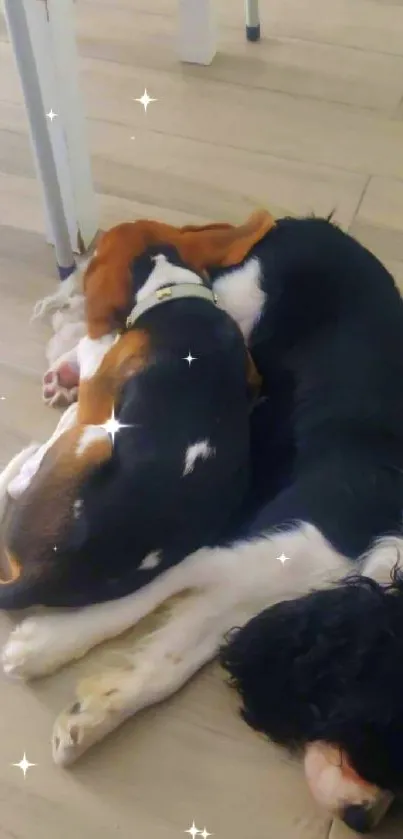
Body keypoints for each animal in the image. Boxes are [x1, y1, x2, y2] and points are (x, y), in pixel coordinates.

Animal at [2, 217, 403, 832]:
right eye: (376, 723)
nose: (363, 819)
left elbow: (174, 653)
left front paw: (91, 715)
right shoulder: (253, 541)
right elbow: (137, 600)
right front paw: (45, 645)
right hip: (238, 300)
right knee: (95, 324)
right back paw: (66, 368)